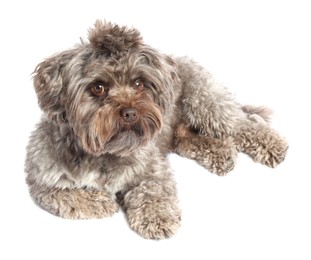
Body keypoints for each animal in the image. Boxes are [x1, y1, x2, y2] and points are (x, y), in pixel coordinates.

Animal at [25, 20, 288, 240]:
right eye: (98, 87)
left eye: (139, 83)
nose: (130, 112)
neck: (104, 153)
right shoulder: (43, 181)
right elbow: (65, 195)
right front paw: (101, 201)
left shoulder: (152, 168)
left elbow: (152, 191)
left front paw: (157, 218)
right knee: (189, 139)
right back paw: (221, 153)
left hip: (206, 104)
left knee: (242, 125)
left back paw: (272, 145)